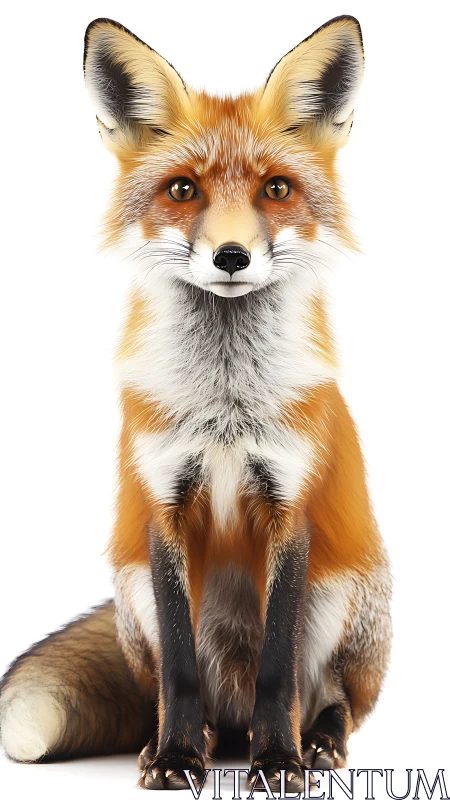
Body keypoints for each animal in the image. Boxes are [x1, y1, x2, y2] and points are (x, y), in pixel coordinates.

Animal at [0, 14, 392, 793]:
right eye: (183, 189)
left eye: (276, 188)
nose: (232, 256)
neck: (226, 407)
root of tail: (231, 713)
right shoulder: (163, 503)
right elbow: (180, 669)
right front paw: (178, 756)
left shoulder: (290, 505)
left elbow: (279, 670)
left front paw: (279, 762)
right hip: (131, 595)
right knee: (174, 689)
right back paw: (186, 740)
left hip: (347, 594)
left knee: (332, 697)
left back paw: (314, 742)